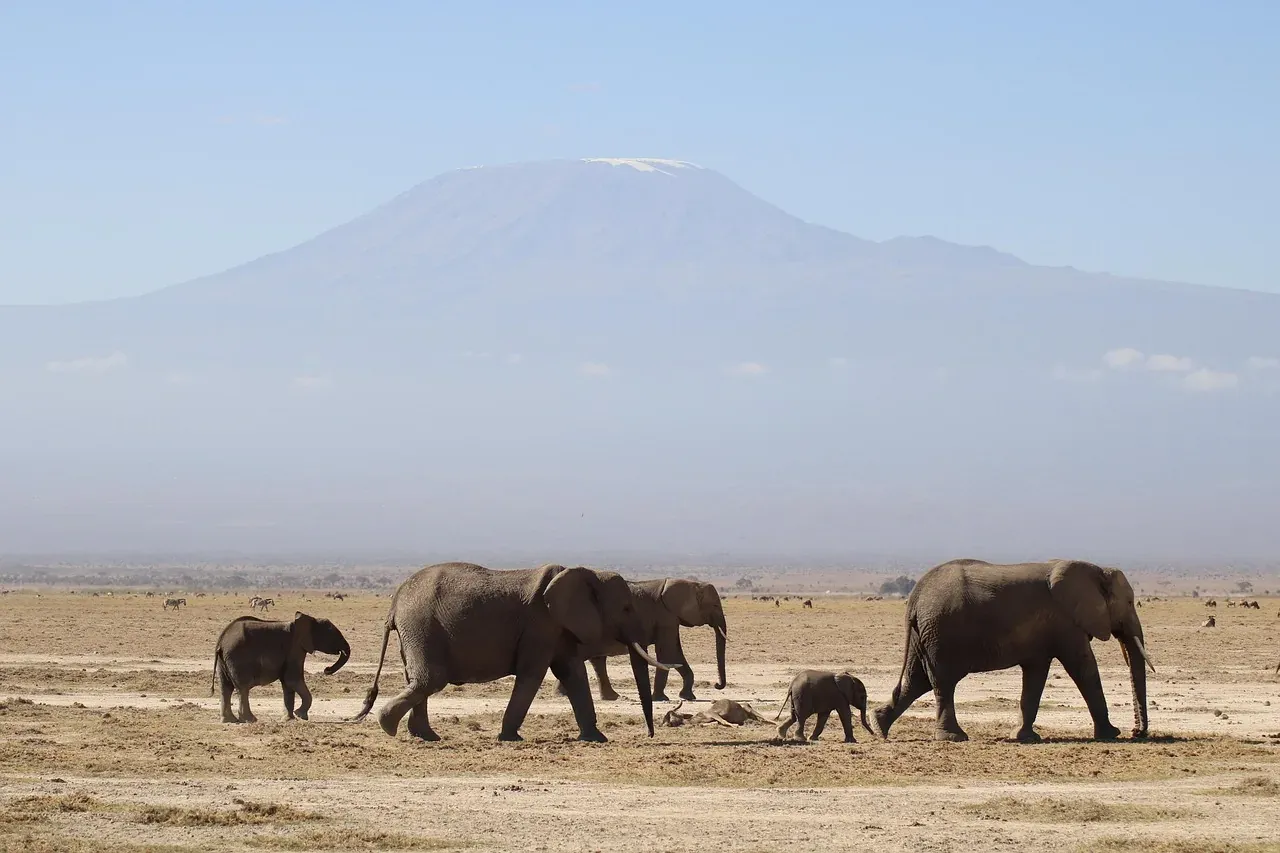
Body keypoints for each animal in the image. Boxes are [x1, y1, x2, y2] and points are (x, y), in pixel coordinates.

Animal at [211, 612, 350, 723]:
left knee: (226, 688)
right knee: (243, 688)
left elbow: (287, 684)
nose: (326, 669)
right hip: (238, 658)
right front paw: (300, 715)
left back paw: (229, 720)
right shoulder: (295, 649)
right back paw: (250, 720)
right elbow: (292, 680)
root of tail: (221, 641)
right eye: (332, 634)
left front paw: (289, 719)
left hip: (224, 661)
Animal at [353, 562, 675, 743]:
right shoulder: (541, 624)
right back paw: (389, 726)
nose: (649, 735)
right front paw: (510, 738)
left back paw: (426, 737)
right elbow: (533, 675)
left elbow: (573, 673)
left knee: (418, 679)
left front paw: (597, 739)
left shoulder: (557, 628)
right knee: (430, 679)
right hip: (421, 626)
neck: (588, 572)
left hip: (415, 630)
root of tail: (395, 602)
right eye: (627, 608)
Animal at [568, 578, 728, 702]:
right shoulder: (665, 616)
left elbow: (675, 652)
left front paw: (687, 697)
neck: (692, 584)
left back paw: (611, 697)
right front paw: (661, 698)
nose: (716, 685)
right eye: (715, 605)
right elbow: (667, 652)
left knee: (597, 660)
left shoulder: (670, 619)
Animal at [873, 558, 1154, 744]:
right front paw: (1111, 734)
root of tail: (914, 597)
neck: (1096, 570)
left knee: (917, 681)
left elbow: (1035, 675)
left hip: (925, 634)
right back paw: (953, 737)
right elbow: (1083, 668)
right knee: (942, 682)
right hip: (940, 632)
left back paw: (878, 726)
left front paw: (1024, 737)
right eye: (1130, 602)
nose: (1137, 732)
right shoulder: (1066, 623)